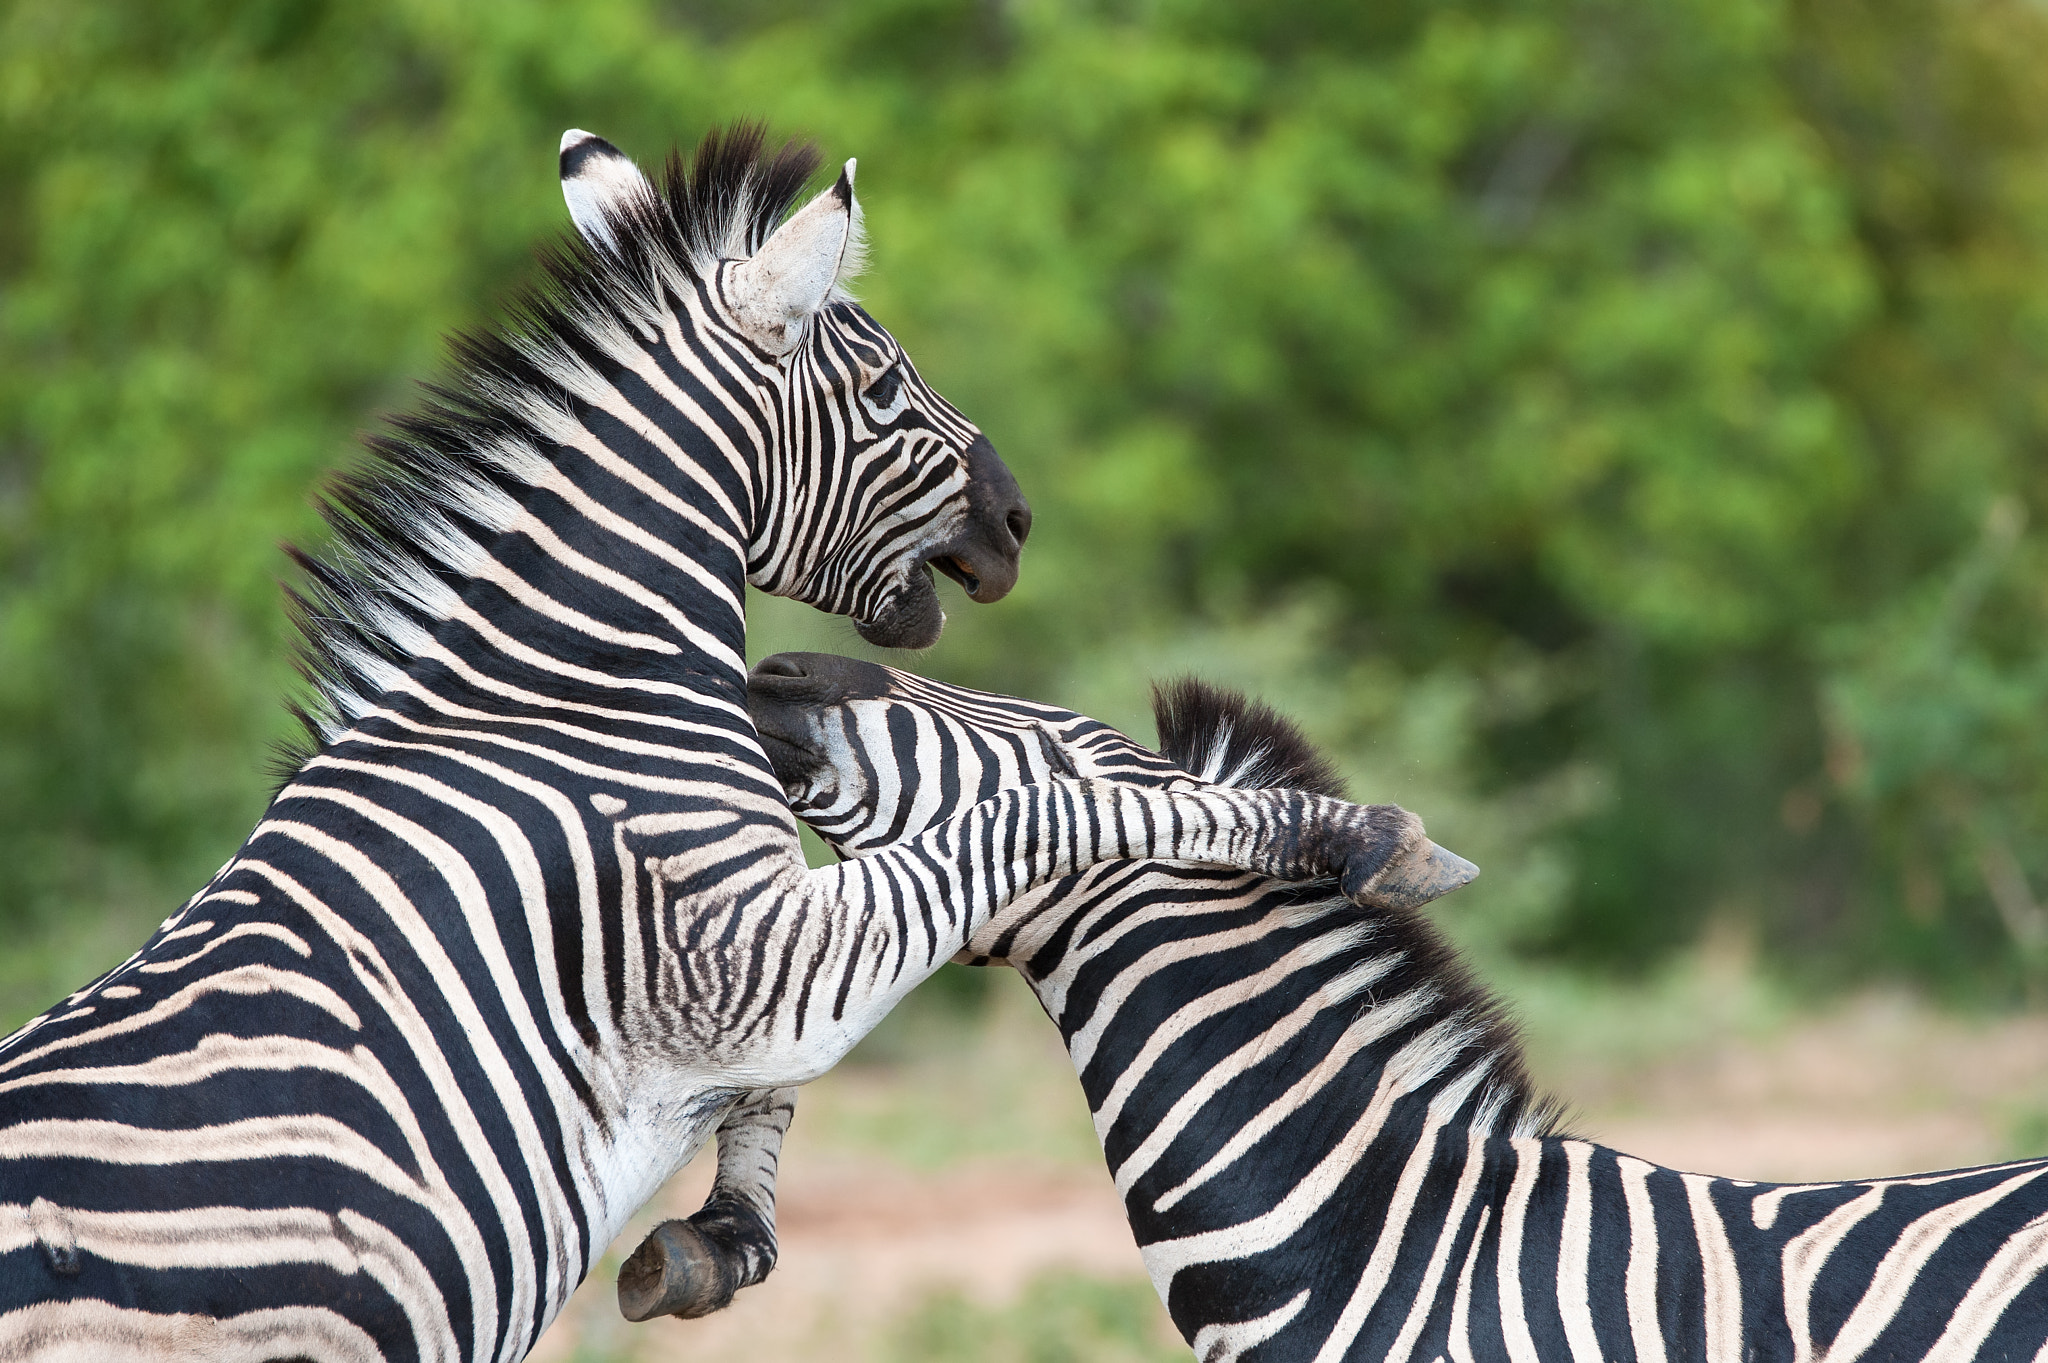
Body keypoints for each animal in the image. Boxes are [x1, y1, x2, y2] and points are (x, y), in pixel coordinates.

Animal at [0, 125, 1423, 1362]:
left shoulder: (762, 969)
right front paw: (1346, 833)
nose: (1018, 519)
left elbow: (772, 1087)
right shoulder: (747, 960)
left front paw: (721, 1234)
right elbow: (1033, 818)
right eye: (881, 384)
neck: (575, 695)